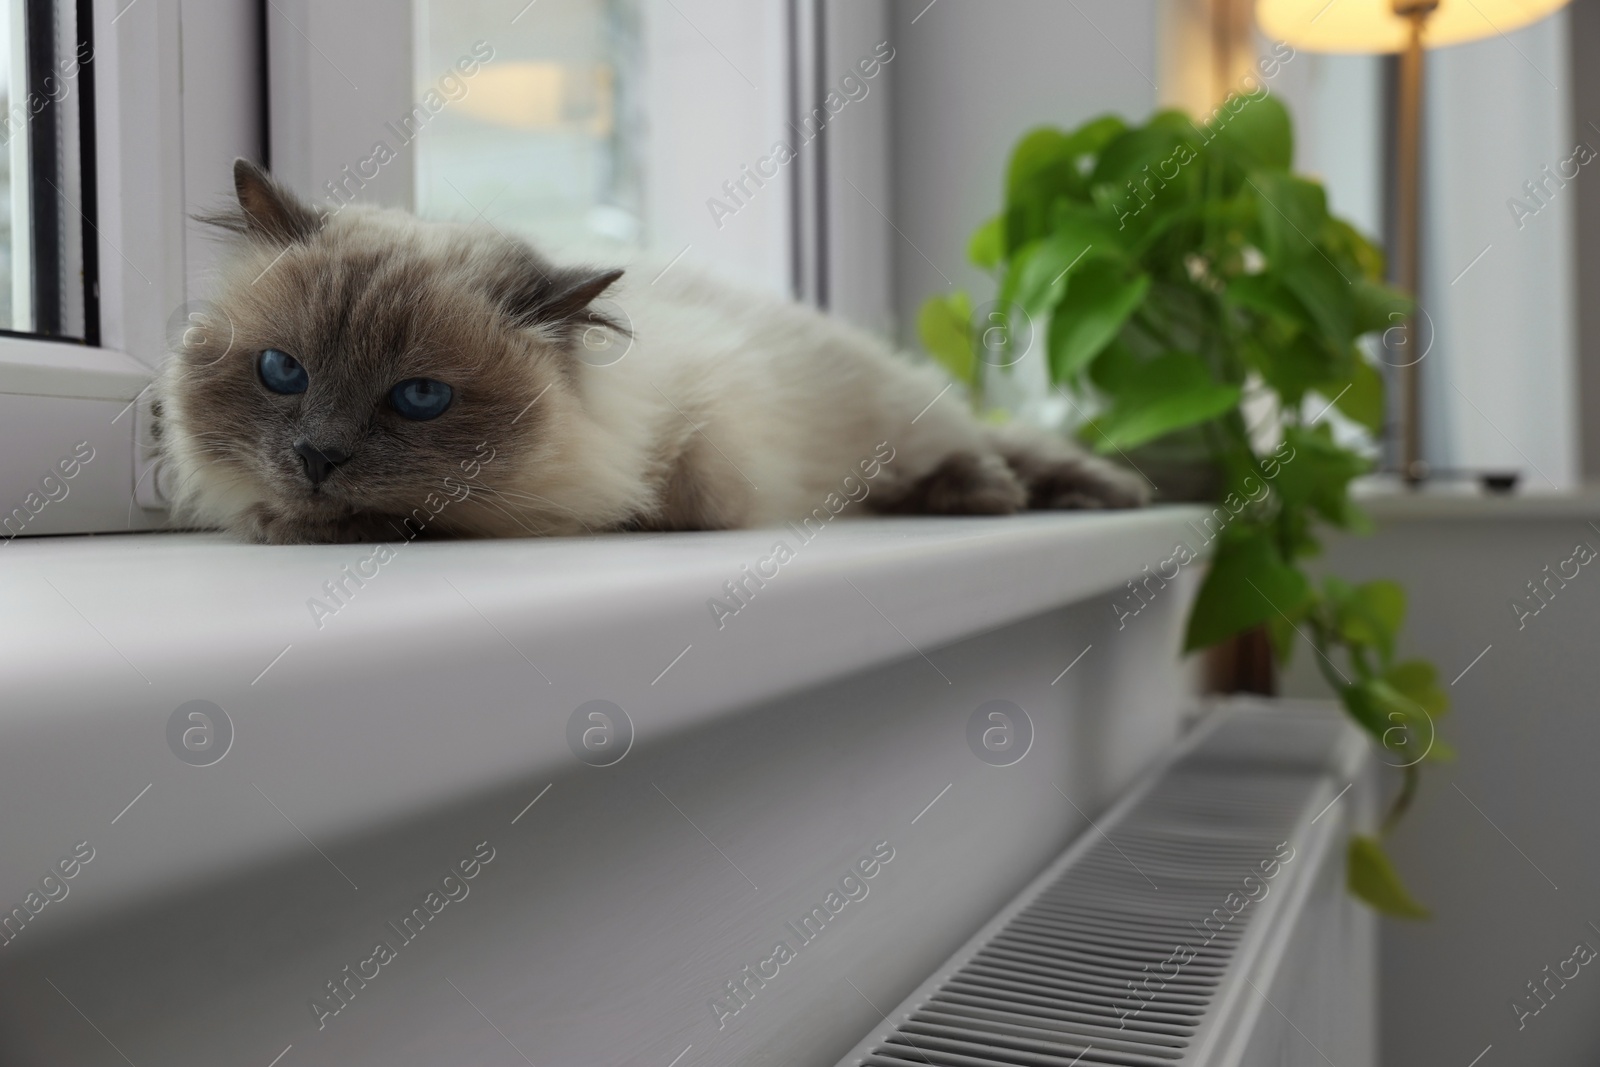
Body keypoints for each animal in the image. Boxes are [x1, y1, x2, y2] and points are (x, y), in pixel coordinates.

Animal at [156, 163, 1145, 547]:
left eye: (420, 398)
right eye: (282, 373)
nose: (316, 458)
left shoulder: (696, 468)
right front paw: (285, 518)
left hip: (899, 422)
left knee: (969, 451)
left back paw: (1023, 494)